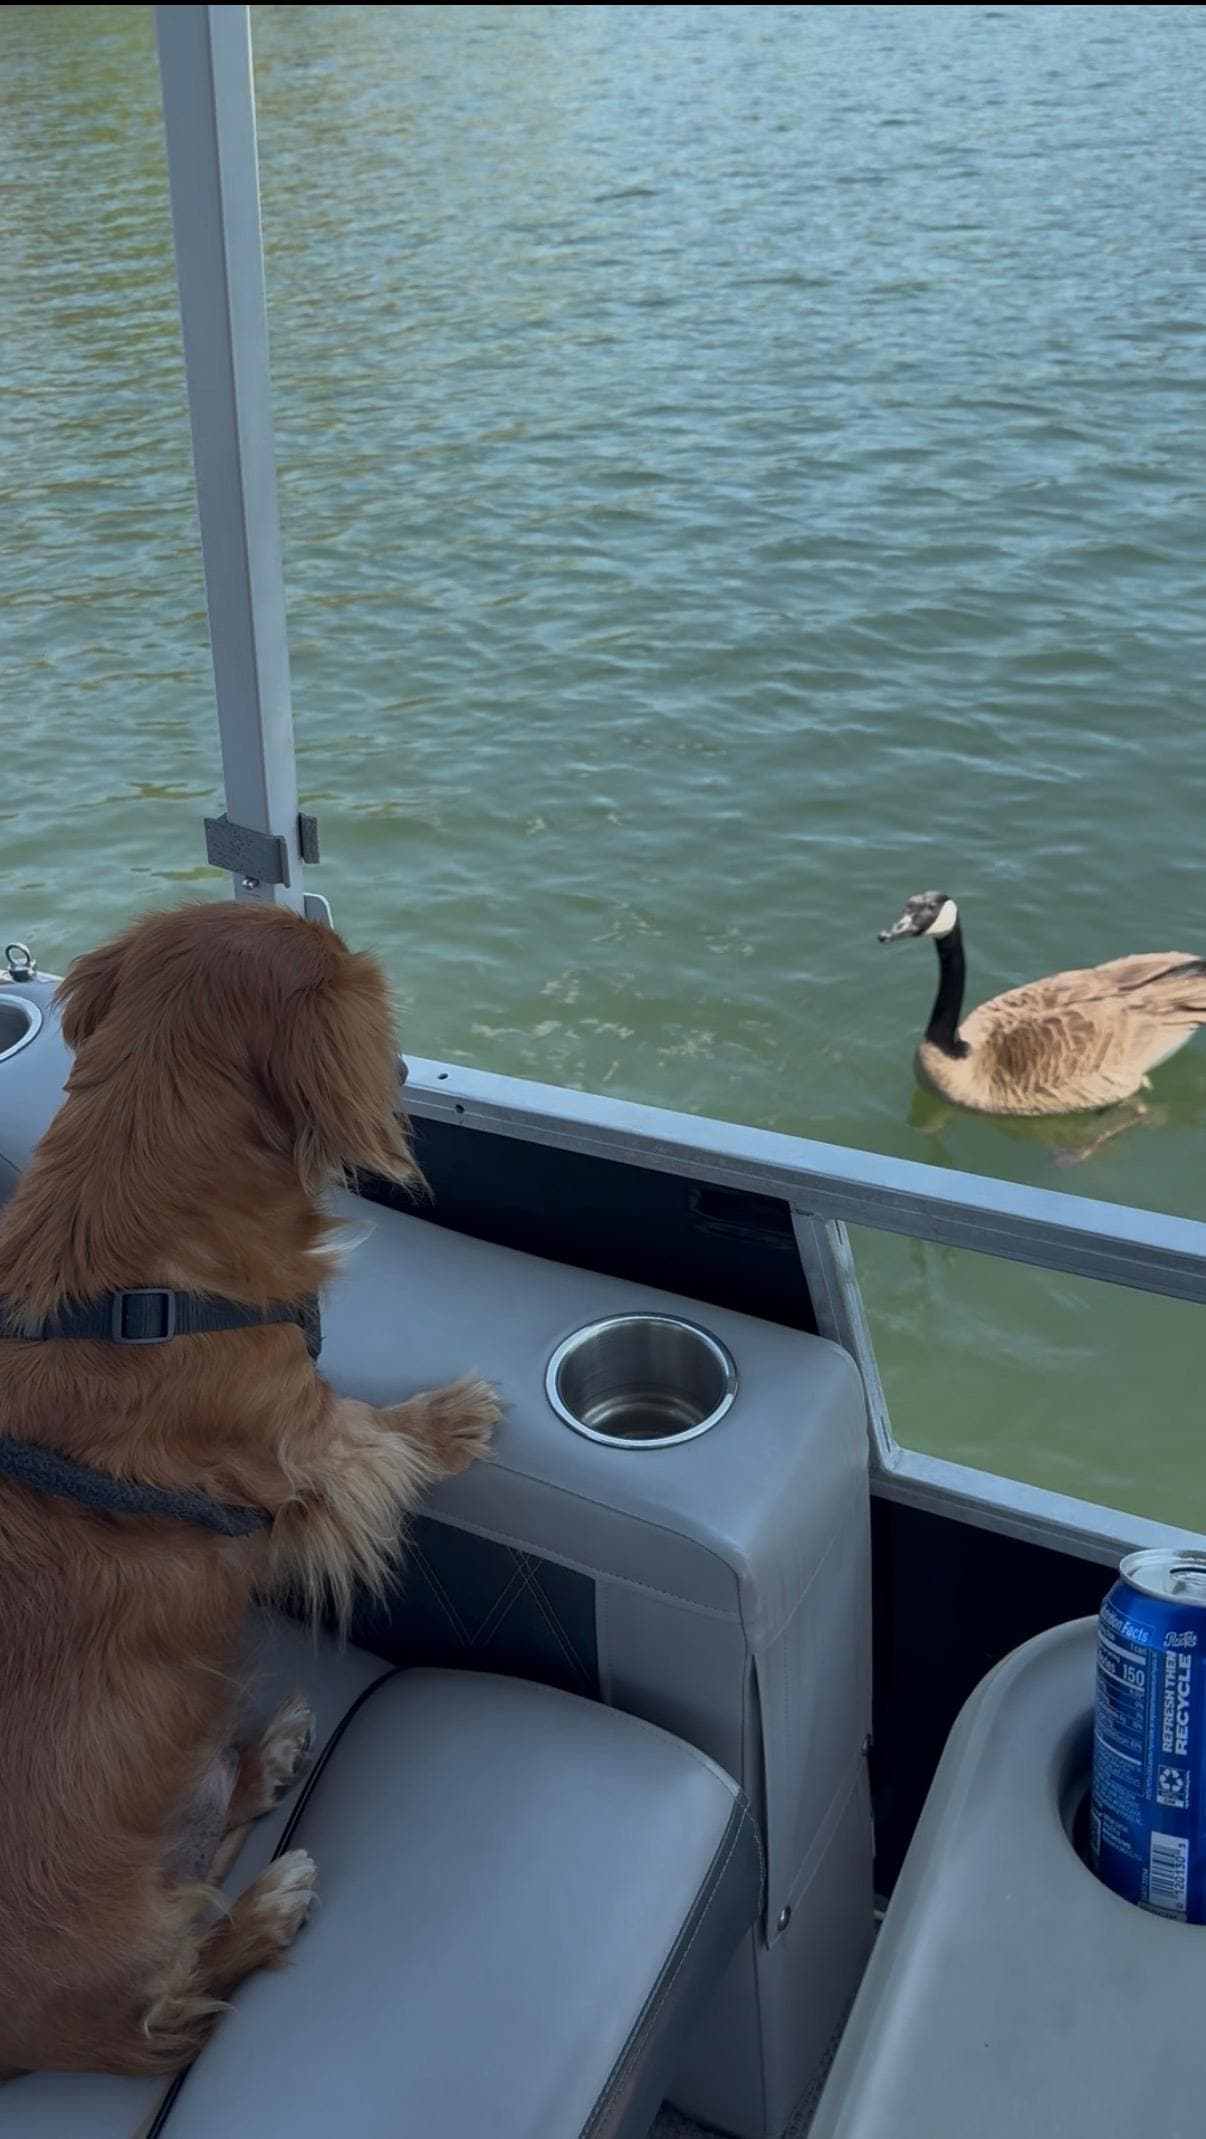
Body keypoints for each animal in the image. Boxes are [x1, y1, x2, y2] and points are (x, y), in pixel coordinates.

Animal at [0, 900, 499, 2076]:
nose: (402, 1064)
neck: (134, 1285)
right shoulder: (302, 1436)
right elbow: (377, 1439)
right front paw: (452, 1419)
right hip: (116, 1955)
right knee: (172, 1990)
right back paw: (270, 1901)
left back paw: (266, 1762)